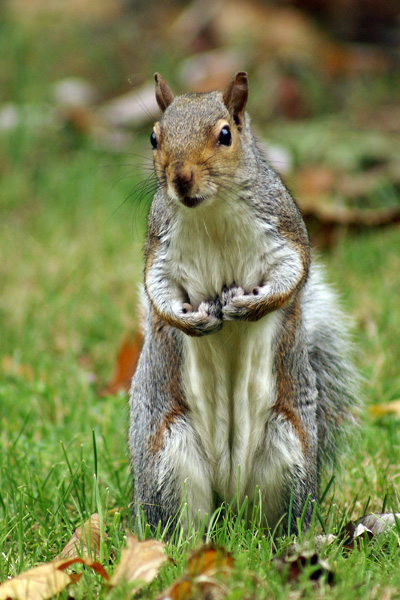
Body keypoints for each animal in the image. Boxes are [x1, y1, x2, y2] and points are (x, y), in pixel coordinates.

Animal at [129, 72, 360, 536]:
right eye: (154, 137)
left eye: (225, 134)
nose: (180, 178)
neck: (210, 211)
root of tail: (230, 499)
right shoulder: (159, 248)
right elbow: (158, 292)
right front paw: (192, 320)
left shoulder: (283, 229)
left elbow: (293, 273)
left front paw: (248, 306)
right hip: (168, 456)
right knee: (182, 519)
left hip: (288, 449)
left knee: (277, 519)